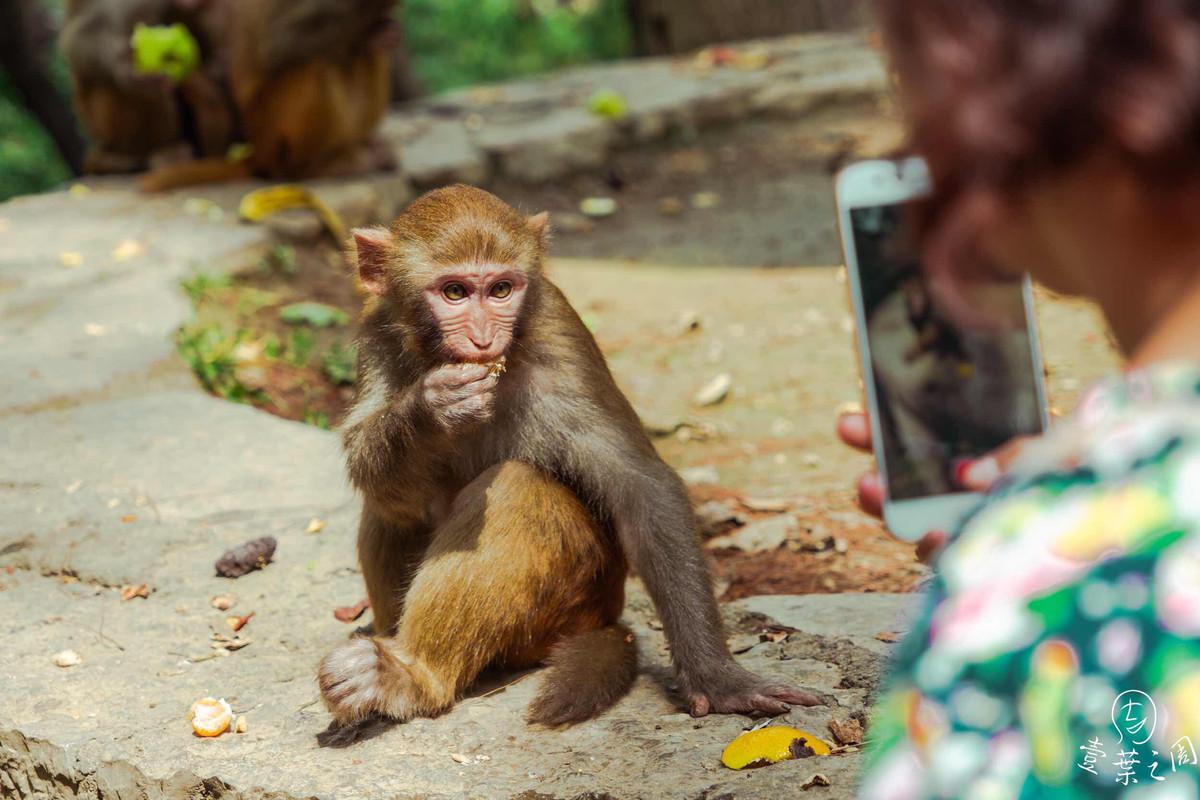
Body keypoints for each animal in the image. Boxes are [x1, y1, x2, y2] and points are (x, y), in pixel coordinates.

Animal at [316, 184, 825, 729]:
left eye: (501, 289)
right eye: (454, 293)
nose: (482, 338)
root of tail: (608, 616)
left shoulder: (559, 341)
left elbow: (640, 487)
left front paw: (719, 679)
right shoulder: (377, 334)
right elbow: (367, 462)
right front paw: (431, 409)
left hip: (568, 606)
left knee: (518, 488)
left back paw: (411, 677)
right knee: (394, 505)